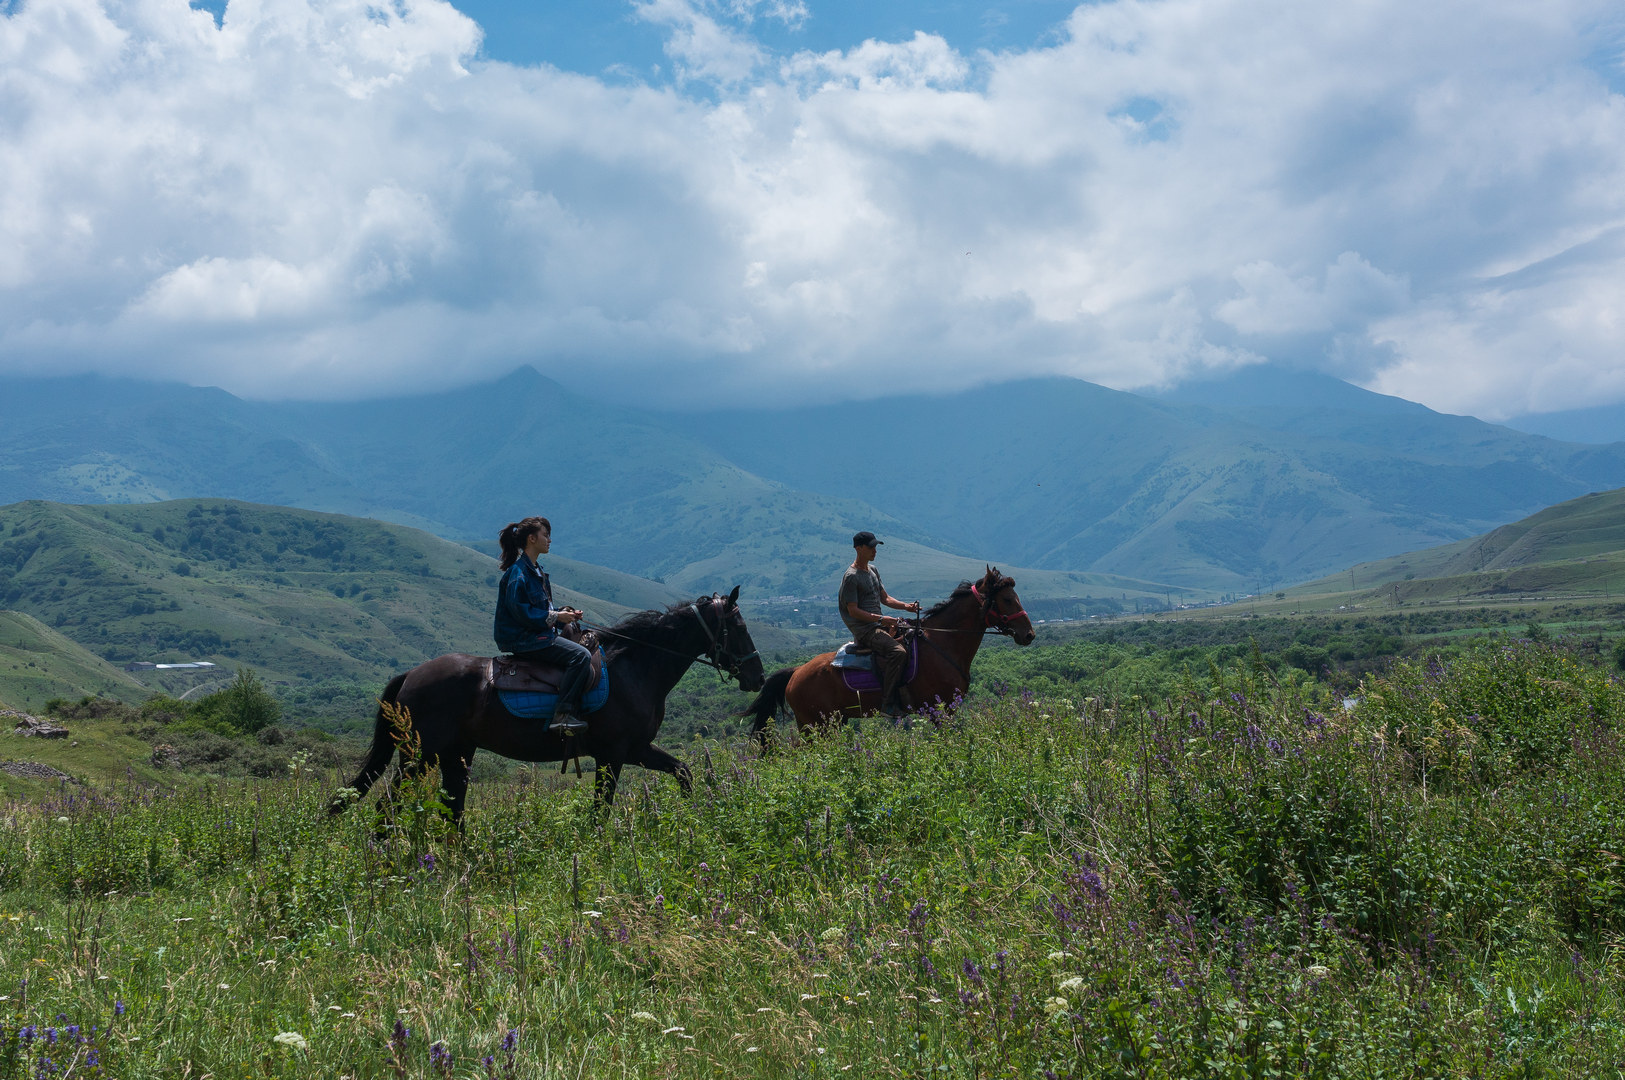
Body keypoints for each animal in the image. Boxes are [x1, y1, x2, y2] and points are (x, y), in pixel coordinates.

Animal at [331, 591, 767, 818]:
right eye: (739, 627)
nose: (758, 677)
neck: (636, 668)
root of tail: (411, 675)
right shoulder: (614, 753)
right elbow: (601, 809)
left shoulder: (637, 749)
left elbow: (684, 772)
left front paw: (697, 814)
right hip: (419, 756)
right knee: (388, 806)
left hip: (456, 754)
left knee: (452, 809)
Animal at [744, 565, 1033, 734]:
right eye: (1007, 599)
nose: (1029, 634)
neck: (943, 644)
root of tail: (796, 672)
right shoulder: (940, 710)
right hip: (814, 725)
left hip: (832, 722)